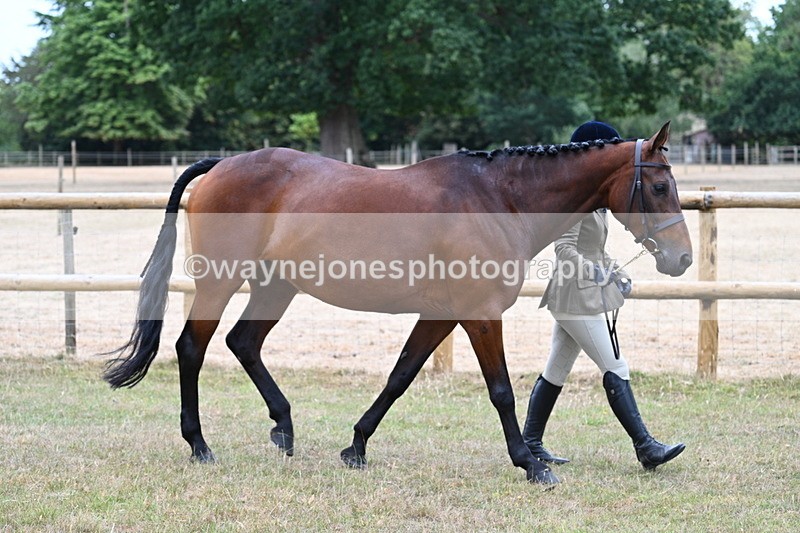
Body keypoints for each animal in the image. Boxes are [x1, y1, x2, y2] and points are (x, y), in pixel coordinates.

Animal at [104, 122, 691, 486]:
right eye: (661, 187)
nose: (682, 258)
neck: (499, 199)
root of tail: (222, 164)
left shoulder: (441, 315)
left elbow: (400, 376)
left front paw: (356, 448)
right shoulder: (480, 315)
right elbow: (501, 391)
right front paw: (531, 464)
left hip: (276, 286)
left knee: (242, 342)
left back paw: (284, 429)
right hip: (220, 283)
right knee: (192, 348)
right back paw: (199, 444)